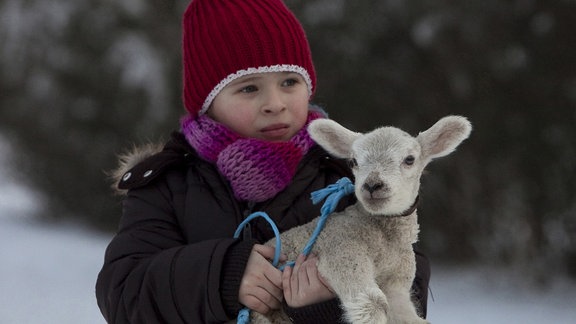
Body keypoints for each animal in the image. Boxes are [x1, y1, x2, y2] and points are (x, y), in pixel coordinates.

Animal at [252, 115, 472, 322]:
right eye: (353, 162)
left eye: (410, 159)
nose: (373, 185)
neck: (386, 241)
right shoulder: (342, 252)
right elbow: (373, 304)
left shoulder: (396, 281)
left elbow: (405, 314)